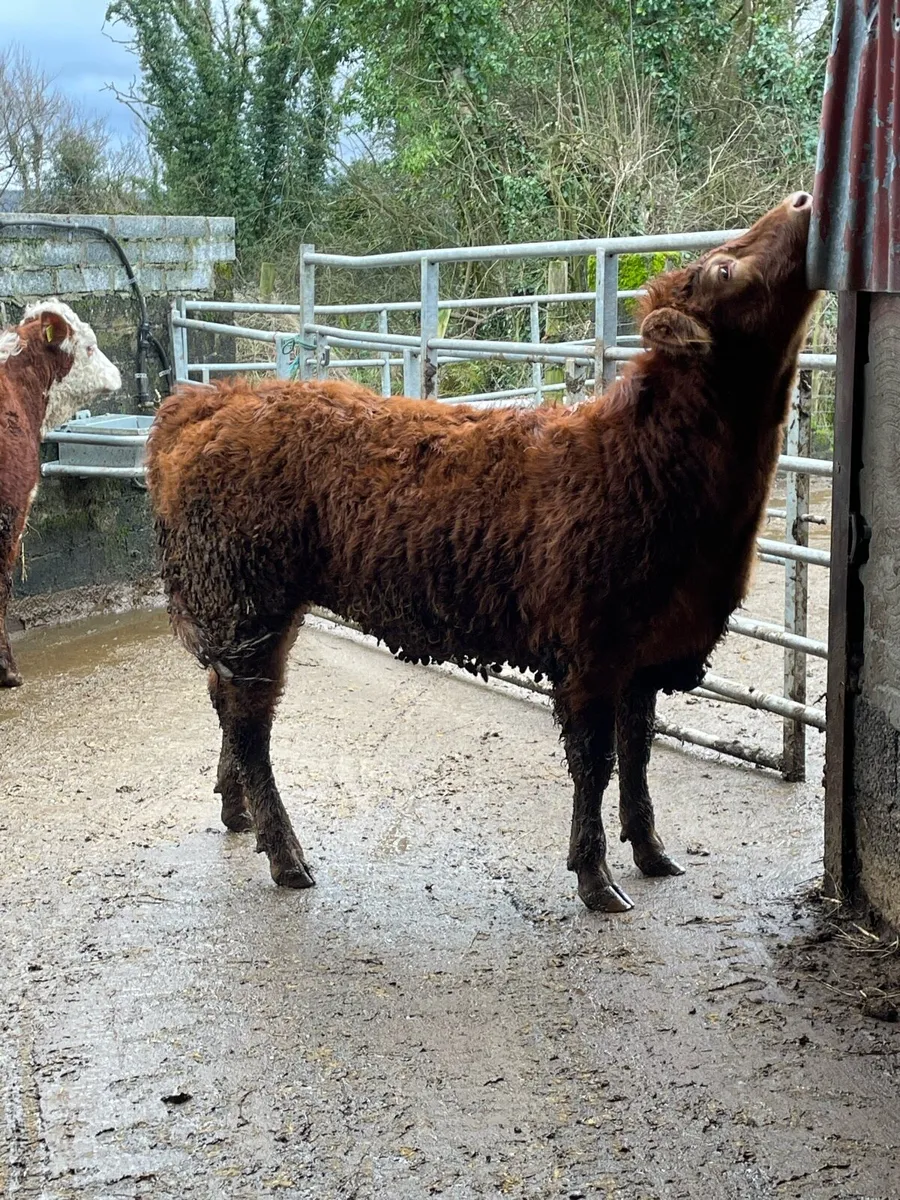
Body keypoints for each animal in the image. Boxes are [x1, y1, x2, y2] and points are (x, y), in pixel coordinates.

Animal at [146, 193, 818, 911]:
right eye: (724, 269)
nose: (803, 199)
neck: (637, 456)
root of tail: (206, 401)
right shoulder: (590, 654)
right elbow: (595, 763)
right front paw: (596, 878)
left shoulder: (647, 653)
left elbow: (638, 753)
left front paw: (652, 851)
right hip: (248, 602)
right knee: (251, 723)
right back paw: (286, 855)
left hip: (257, 611)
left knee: (226, 702)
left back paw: (236, 810)